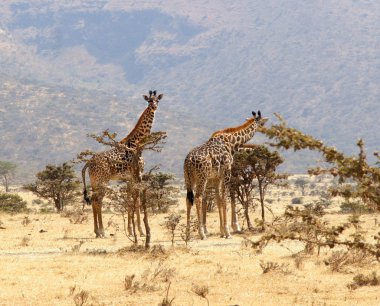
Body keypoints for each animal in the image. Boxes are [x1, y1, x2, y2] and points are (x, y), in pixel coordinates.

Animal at [81, 89, 163, 238]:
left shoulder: (129, 178)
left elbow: (130, 200)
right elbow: (137, 200)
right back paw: (102, 231)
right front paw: (141, 231)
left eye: (157, 100)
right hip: (102, 180)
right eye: (149, 101)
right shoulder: (137, 175)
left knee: (94, 201)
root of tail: (89, 162)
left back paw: (96, 231)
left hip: (94, 181)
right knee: (98, 200)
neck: (137, 145)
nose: (154, 107)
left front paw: (131, 230)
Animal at [183, 111, 268, 240]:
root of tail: (188, 160)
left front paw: (222, 231)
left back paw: (188, 234)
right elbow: (224, 199)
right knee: (198, 198)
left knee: (189, 200)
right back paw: (202, 234)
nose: (265, 130)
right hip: (202, 178)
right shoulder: (227, 172)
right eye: (262, 123)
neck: (231, 143)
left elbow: (219, 200)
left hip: (189, 179)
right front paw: (228, 232)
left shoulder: (216, 177)